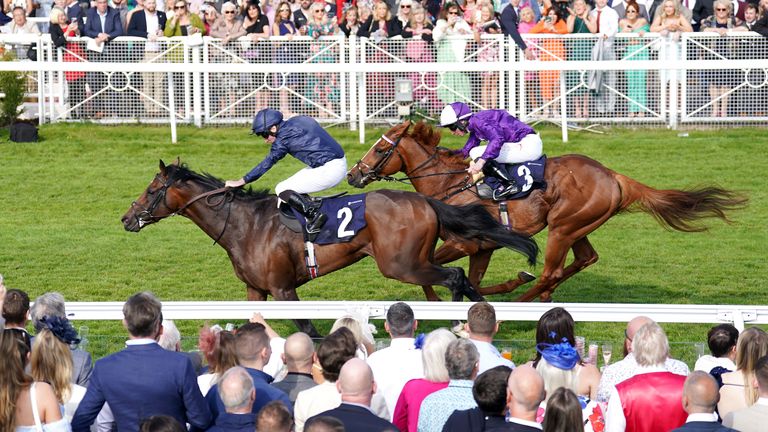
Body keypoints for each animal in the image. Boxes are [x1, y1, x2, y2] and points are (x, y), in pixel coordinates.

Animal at [121, 160, 540, 336]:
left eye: (152, 189)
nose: (126, 219)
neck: (245, 224)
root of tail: (424, 200)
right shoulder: (256, 289)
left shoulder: (283, 289)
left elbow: (308, 330)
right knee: (464, 278)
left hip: (401, 264)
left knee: (453, 276)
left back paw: (457, 321)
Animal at [346, 121, 744, 302]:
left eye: (379, 150)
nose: (353, 174)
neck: (450, 183)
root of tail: (613, 175)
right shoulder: (484, 247)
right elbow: (472, 280)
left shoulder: (466, 244)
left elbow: (432, 270)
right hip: (578, 227)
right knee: (585, 259)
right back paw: (540, 295)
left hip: (563, 228)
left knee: (552, 271)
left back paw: (525, 301)